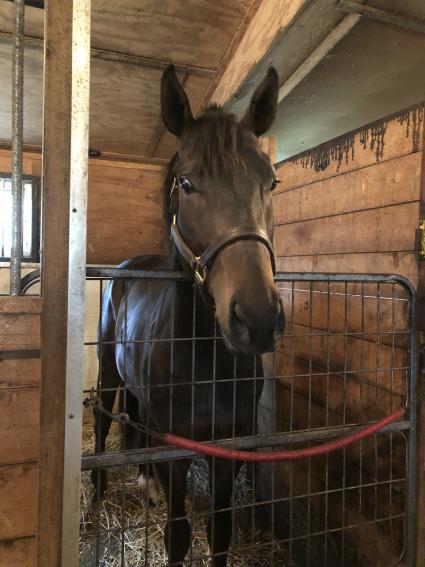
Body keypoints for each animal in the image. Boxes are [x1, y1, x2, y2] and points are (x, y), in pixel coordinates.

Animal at [93, 64, 284, 564]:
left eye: (271, 182)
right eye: (186, 183)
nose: (257, 318)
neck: (206, 362)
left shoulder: (228, 448)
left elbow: (220, 531)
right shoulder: (176, 452)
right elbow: (178, 535)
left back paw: (145, 483)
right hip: (107, 370)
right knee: (102, 418)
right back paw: (97, 492)